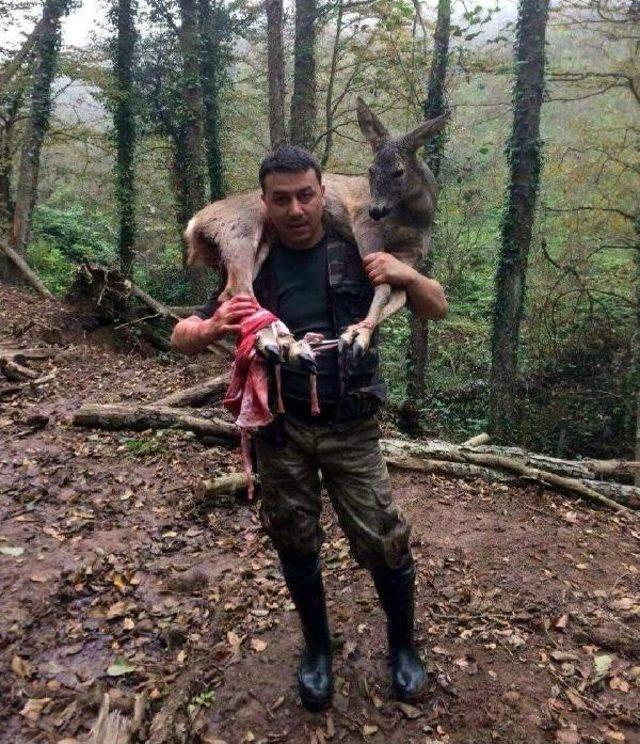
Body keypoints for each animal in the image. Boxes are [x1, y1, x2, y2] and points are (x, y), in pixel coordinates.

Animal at [182, 96, 448, 370]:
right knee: (238, 289)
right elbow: (383, 289)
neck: (415, 219)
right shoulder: (365, 226)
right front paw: (358, 337)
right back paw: (283, 343)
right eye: (371, 169)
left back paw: (285, 342)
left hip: (262, 243)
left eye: (398, 171)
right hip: (241, 229)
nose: (377, 209)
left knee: (233, 294)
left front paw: (352, 333)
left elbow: (400, 297)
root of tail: (194, 223)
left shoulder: (411, 255)